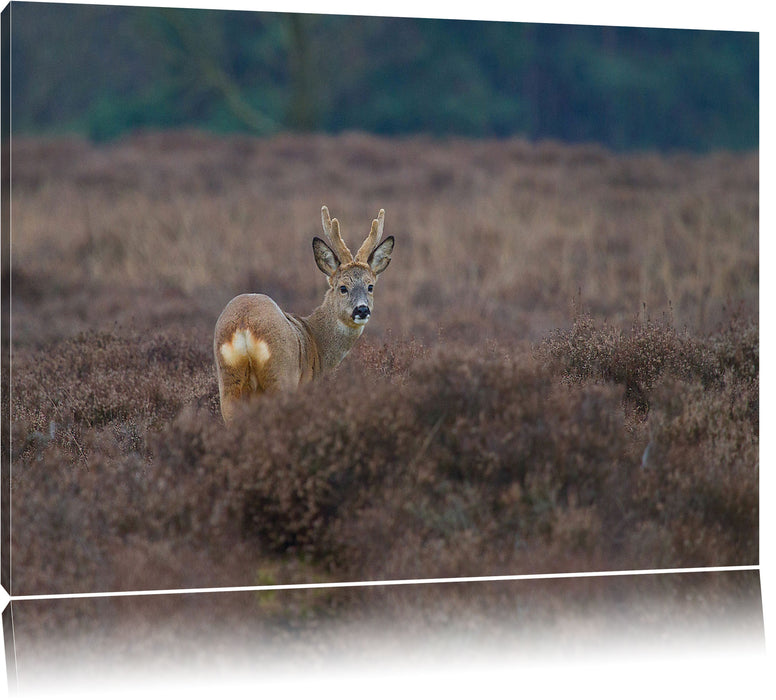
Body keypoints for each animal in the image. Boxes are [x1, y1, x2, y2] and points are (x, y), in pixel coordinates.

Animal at [212, 202, 394, 422]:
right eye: (343, 287)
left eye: (370, 286)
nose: (362, 309)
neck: (316, 341)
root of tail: (244, 325)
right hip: (281, 374)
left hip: (229, 380)